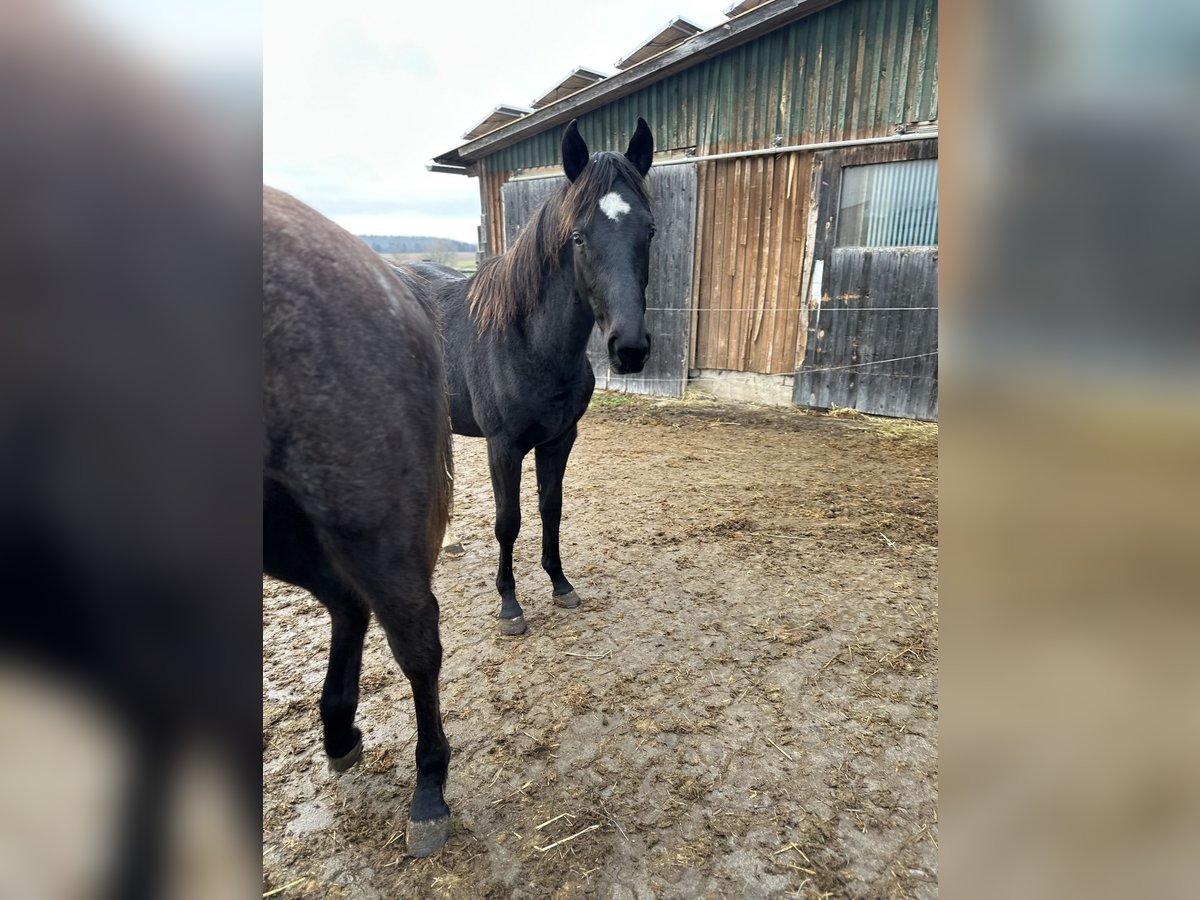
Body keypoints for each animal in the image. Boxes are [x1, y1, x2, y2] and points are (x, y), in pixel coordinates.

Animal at [398, 120, 652, 638]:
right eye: (578, 237)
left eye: (651, 231)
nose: (630, 349)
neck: (529, 343)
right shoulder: (504, 446)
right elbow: (507, 521)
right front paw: (509, 605)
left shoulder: (559, 439)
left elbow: (550, 508)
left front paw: (560, 583)